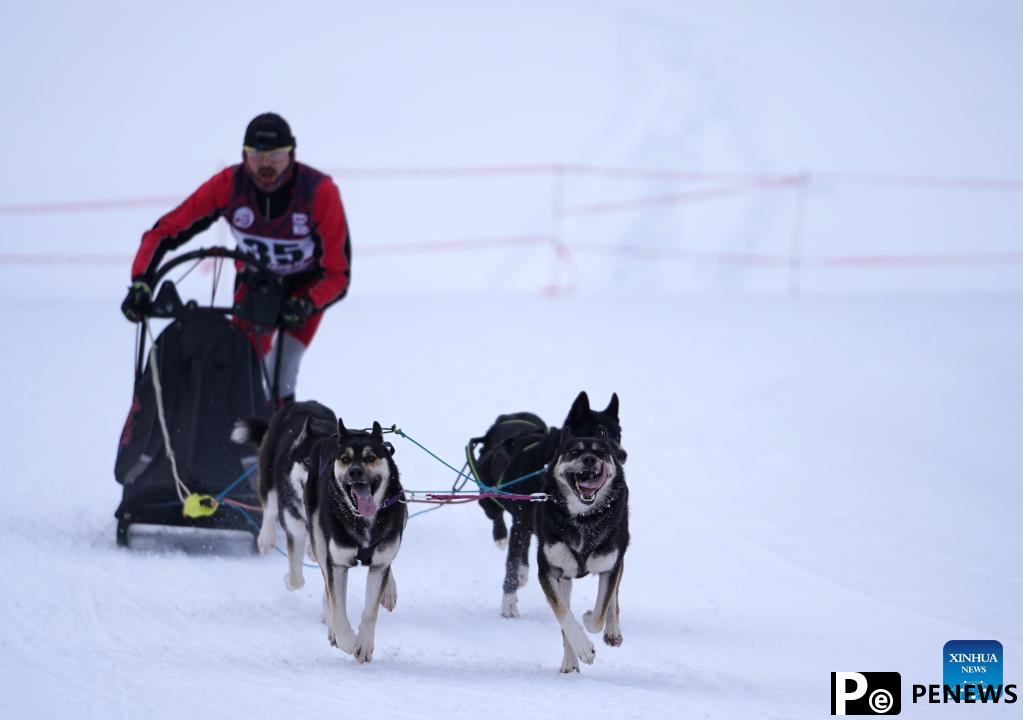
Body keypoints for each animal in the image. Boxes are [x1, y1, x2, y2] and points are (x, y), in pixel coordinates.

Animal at [230, 398, 333, 589]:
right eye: (308, 461)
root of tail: (305, 402)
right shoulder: (295, 532)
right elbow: (296, 580)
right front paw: (288, 580)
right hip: (268, 476)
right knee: (269, 508)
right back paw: (266, 539)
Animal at [302, 421, 407, 662]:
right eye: (345, 459)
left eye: (370, 457)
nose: (355, 471)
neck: (363, 521)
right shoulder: (337, 563)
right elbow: (338, 606)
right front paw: (347, 641)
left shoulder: (379, 564)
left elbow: (370, 611)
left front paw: (364, 644)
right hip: (319, 542)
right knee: (329, 591)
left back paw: (389, 592)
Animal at [470, 392, 621, 617]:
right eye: (592, 433)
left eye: (618, 435)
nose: (620, 455)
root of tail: (504, 419)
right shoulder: (522, 520)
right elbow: (512, 563)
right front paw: (508, 605)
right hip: (489, 498)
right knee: (497, 516)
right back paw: (501, 537)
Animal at [540, 425, 626, 670]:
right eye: (574, 452)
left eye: (601, 452)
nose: (589, 459)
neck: (583, 519)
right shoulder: (549, 571)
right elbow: (563, 614)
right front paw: (583, 648)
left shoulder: (610, 565)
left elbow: (599, 614)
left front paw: (589, 618)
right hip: (564, 578)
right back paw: (570, 660)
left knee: (613, 598)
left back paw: (613, 631)